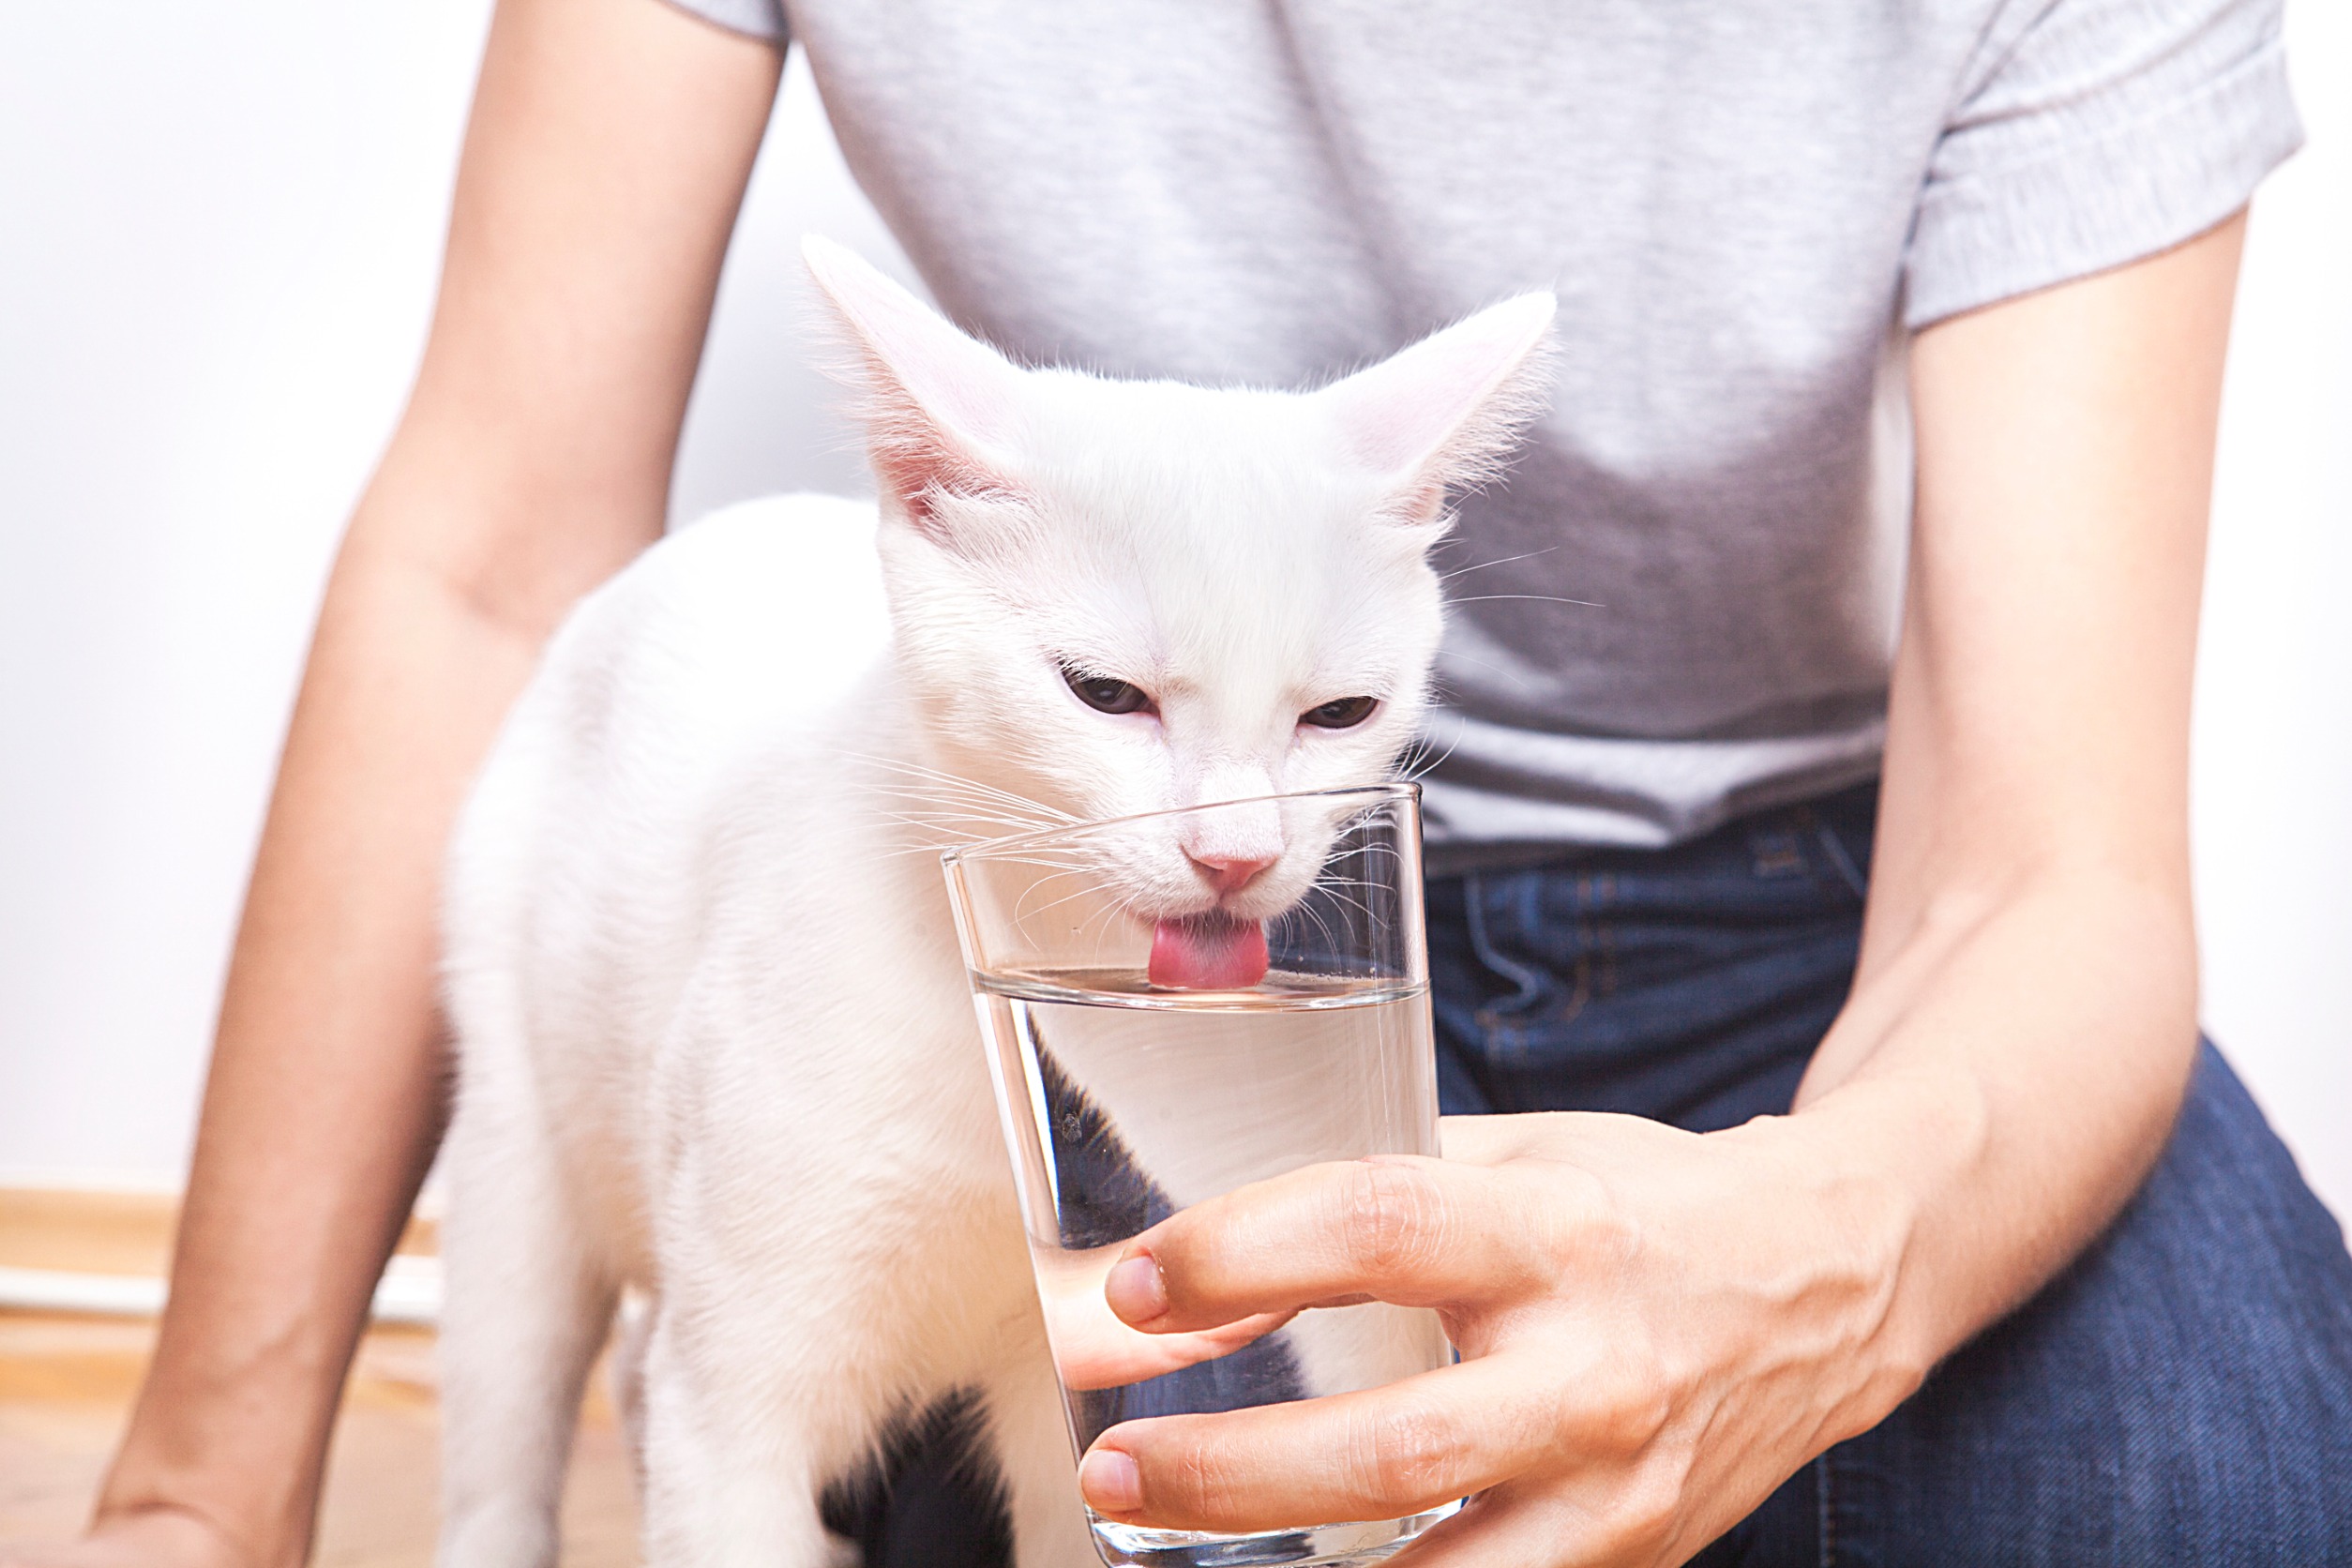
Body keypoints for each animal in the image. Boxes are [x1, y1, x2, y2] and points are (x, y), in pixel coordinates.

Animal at [432, 242, 1552, 1568]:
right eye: (1104, 693)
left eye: (1339, 714)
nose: (1234, 854)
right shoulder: (738, 1408)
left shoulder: (1072, 1370)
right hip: (516, 1157)